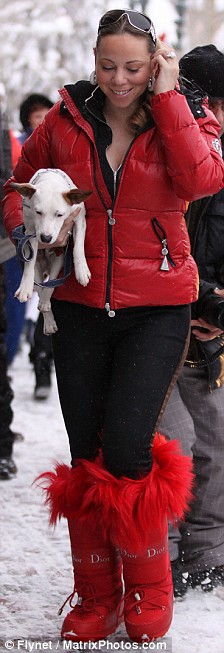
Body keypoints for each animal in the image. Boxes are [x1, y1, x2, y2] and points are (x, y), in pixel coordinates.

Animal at [10, 168, 91, 334]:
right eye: (38, 212)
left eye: (59, 214)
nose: (46, 238)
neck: (51, 180)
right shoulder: (31, 231)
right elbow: (30, 262)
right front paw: (24, 287)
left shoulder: (79, 216)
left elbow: (78, 245)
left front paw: (81, 270)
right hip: (39, 268)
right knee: (40, 286)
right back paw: (47, 319)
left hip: (59, 260)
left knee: (51, 283)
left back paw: (45, 303)